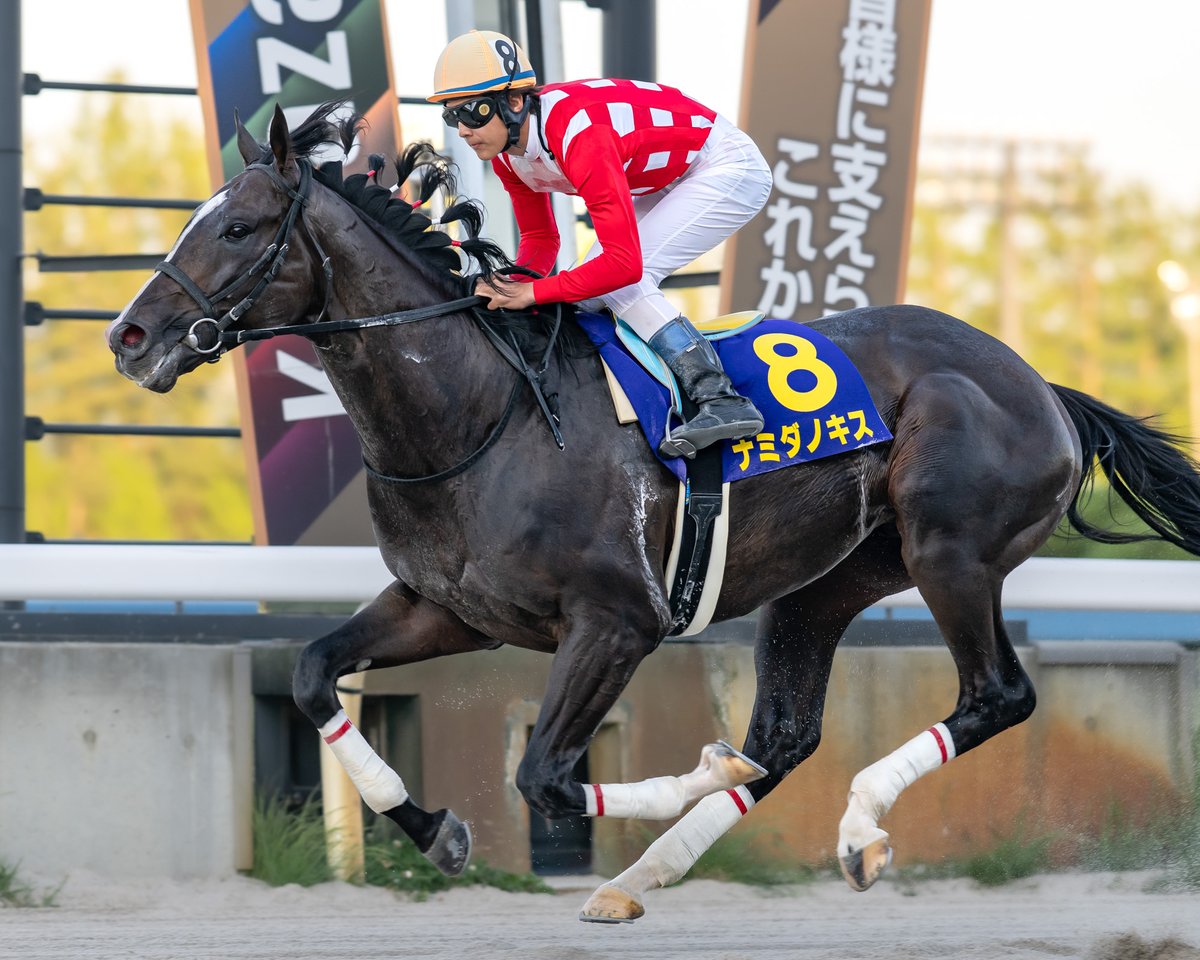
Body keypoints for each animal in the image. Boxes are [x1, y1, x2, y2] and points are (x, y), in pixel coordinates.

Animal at [107, 104, 1200, 923]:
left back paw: (853, 829)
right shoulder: (445, 607)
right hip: (831, 578)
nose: (131, 336)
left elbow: (547, 776)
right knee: (786, 736)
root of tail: (1041, 386)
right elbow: (310, 674)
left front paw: (683, 781)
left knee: (995, 696)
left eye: (238, 228)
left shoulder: (617, 620)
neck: (480, 414)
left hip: (950, 552)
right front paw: (435, 831)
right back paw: (647, 876)